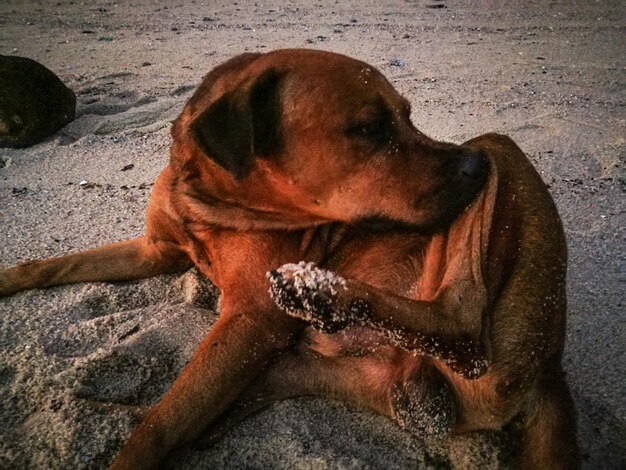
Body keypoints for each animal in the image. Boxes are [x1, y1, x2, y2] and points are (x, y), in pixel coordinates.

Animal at [0, 49, 576, 468]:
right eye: (370, 128)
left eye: (406, 118)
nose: (471, 165)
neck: (209, 196)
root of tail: (550, 368)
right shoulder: (155, 250)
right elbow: (54, 265)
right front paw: (10, 276)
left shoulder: (250, 318)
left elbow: (160, 427)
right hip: (300, 370)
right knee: (190, 413)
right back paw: (95, 410)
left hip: (499, 161)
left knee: (463, 321)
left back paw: (319, 291)